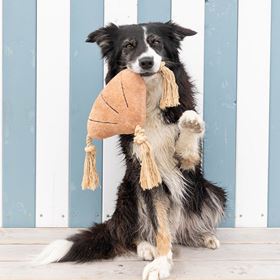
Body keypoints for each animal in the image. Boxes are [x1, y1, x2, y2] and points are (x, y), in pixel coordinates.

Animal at [36, 21, 225, 280]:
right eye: (128, 46)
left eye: (156, 42)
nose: (146, 61)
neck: (148, 96)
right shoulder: (146, 172)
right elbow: (159, 224)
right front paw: (161, 263)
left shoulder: (188, 167)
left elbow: (187, 146)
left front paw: (190, 123)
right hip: (130, 192)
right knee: (132, 233)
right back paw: (147, 247)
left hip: (211, 191)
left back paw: (203, 236)